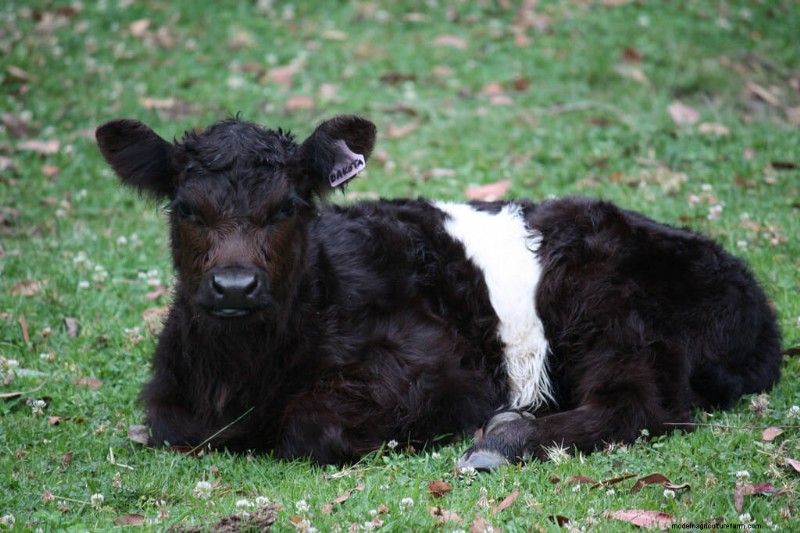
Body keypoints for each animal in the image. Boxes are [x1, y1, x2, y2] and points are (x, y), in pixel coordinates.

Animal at [95, 114, 782, 470]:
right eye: (186, 208)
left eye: (287, 206)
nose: (234, 285)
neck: (243, 375)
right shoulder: (172, 397)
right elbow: (168, 423)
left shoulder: (438, 372)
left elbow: (312, 426)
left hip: (605, 301)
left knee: (636, 403)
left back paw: (501, 441)